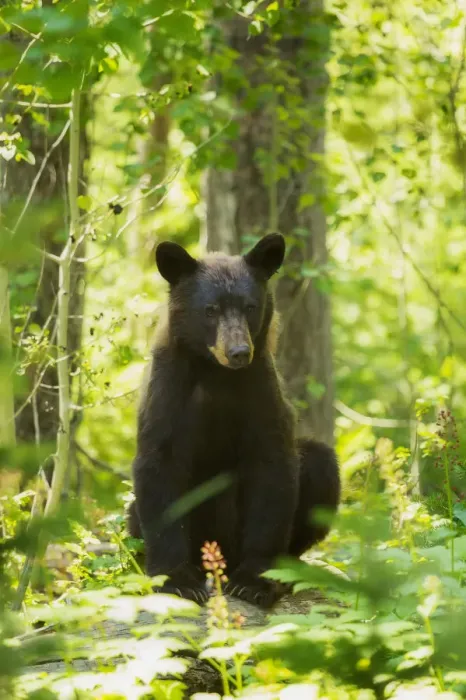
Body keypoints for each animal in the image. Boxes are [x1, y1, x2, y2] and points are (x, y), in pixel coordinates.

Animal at [128, 233, 340, 607]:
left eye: (250, 306)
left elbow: (272, 469)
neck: (216, 374)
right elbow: (159, 469)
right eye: (210, 309)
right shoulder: (168, 391)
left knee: (319, 462)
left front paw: (255, 581)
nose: (239, 352)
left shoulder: (259, 391)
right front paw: (177, 579)